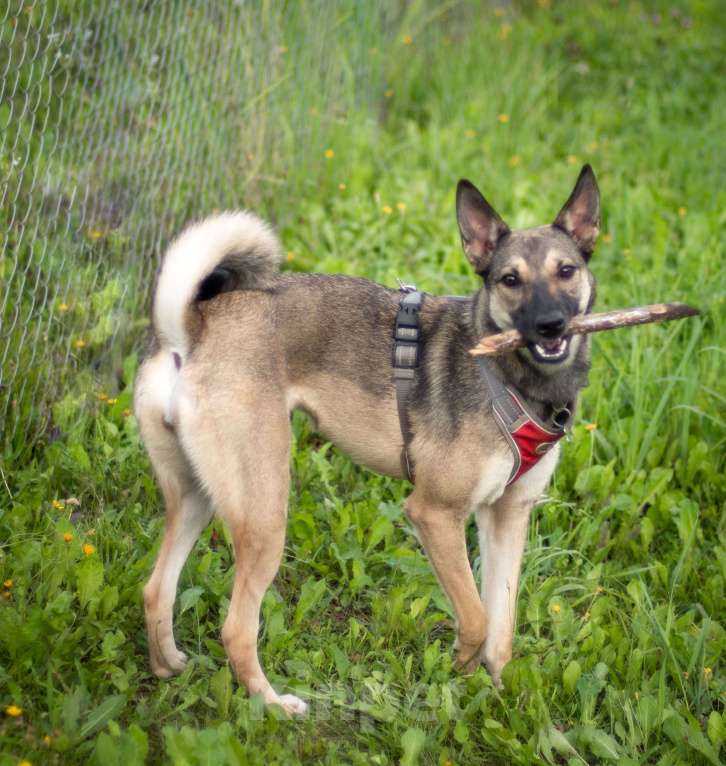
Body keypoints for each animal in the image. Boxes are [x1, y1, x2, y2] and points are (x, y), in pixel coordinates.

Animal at [134, 165, 600, 716]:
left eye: (566, 271)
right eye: (510, 280)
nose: (550, 325)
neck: (508, 373)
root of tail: (191, 329)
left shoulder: (507, 516)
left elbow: (501, 629)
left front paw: (498, 699)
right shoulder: (435, 514)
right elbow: (477, 617)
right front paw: (459, 674)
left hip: (198, 498)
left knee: (156, 589)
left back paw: (167, 665)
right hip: (266, 514)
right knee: (236, 630)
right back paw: (273, 705)